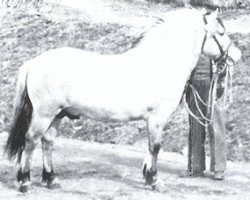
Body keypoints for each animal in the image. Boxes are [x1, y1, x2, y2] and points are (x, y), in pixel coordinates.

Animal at [4, 7, 242, 192]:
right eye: (221, 32)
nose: (237, 56)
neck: (161, 62)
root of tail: (34, 62)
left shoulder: (152, 120)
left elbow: (150, 147)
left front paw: (147, 177)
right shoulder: (157, 118)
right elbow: (155, 147)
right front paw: (155, 181)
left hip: (58, 114)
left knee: (47, 142)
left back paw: (52, 180)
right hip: (44, 114)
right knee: (30, 141)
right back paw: (25, 182)